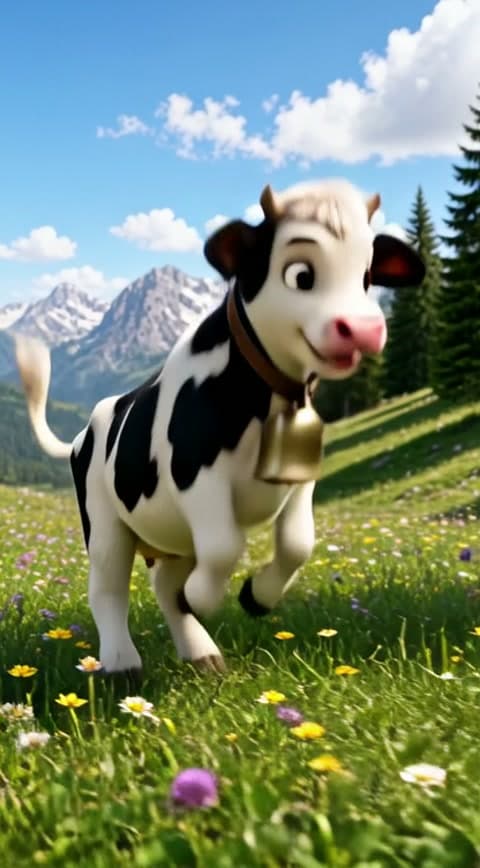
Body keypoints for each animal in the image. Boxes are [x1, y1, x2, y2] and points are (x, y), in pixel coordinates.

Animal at [14, 178, 425, 677]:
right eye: (300, 274)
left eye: (367, 277)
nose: (363, 329)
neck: (262, 399)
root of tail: (80, 436)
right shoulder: (197, 478)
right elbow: (225, 546)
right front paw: (202, 597)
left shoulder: (300, 481)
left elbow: (298, 543)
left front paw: (256, 595)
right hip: (105, 519)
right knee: (108, 589)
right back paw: (122, 662)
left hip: (169, 534)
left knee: (163, 585)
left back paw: (203, 653)